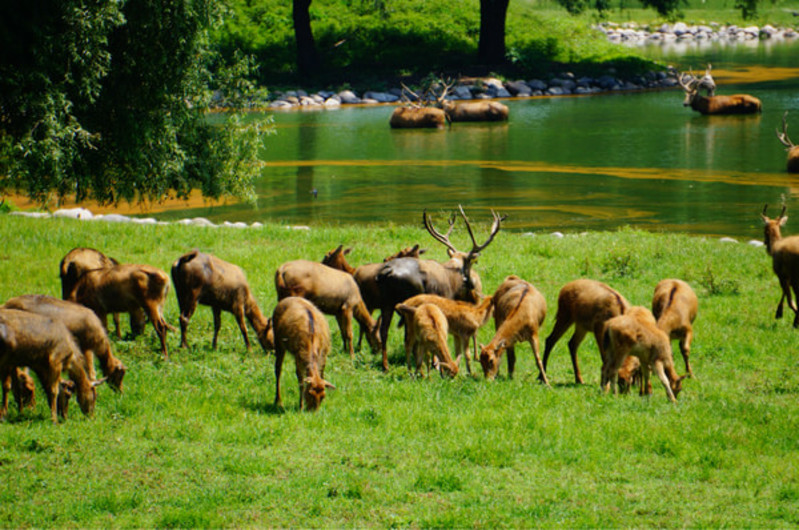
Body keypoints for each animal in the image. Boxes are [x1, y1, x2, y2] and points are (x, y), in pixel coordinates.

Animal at [376, 204, 506, 370]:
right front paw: (437, 363)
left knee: (384, 331)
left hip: (386, 304)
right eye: (471, 264)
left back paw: (385, 365)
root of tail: (387, 271)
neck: (455, 280)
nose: (473, 285)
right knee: (407, 336)